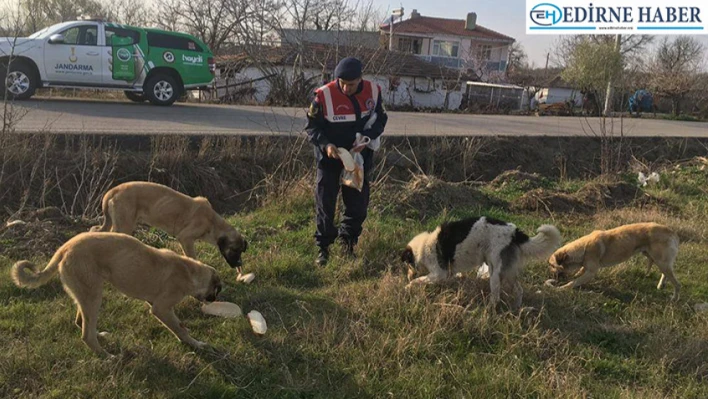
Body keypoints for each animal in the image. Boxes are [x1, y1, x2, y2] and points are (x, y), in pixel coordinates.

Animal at [12, 233, 223, 358]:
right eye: (216, 290)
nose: (214, 300)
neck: (188, 270)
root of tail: (64, 248)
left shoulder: (153, 302)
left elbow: (179, 325)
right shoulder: (161, 308)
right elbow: (180, 328)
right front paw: (195, 344)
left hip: (85, 295)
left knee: (82, 323)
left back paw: (100, 336)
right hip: (93, 295)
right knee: (86, 335)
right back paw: (108, 357)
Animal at [91, 182, 248, 270]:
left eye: (241, 251)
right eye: (234, 250)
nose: (240, 265)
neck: (212, 222)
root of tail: (113, 191)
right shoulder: (185, 238)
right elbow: (192, 257)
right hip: (124, 225)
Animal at [402, 217, 560, 310]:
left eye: (407, 265)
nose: (407, 276)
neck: (423, 247)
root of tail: (515, 232)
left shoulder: (439, 273)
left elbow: (419, 280)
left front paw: (408, 286)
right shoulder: (448, 274)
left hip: (495, 272)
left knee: (496, 296)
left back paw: (488, 310)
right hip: (506, 272)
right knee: (519, 290)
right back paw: (516, 309)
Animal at [548, 222, 680, 300]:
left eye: (552, 266)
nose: (550, 276)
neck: (584, 248)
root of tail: (672, 231)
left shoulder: (591, 272)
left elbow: (573, 282)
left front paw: (561, 288)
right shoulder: (585, 268)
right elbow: (578, 273)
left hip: (661, 262)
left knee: (677, 284)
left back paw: (674, 298)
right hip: (654, 258)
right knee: (664, 273)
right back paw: (661, 285)